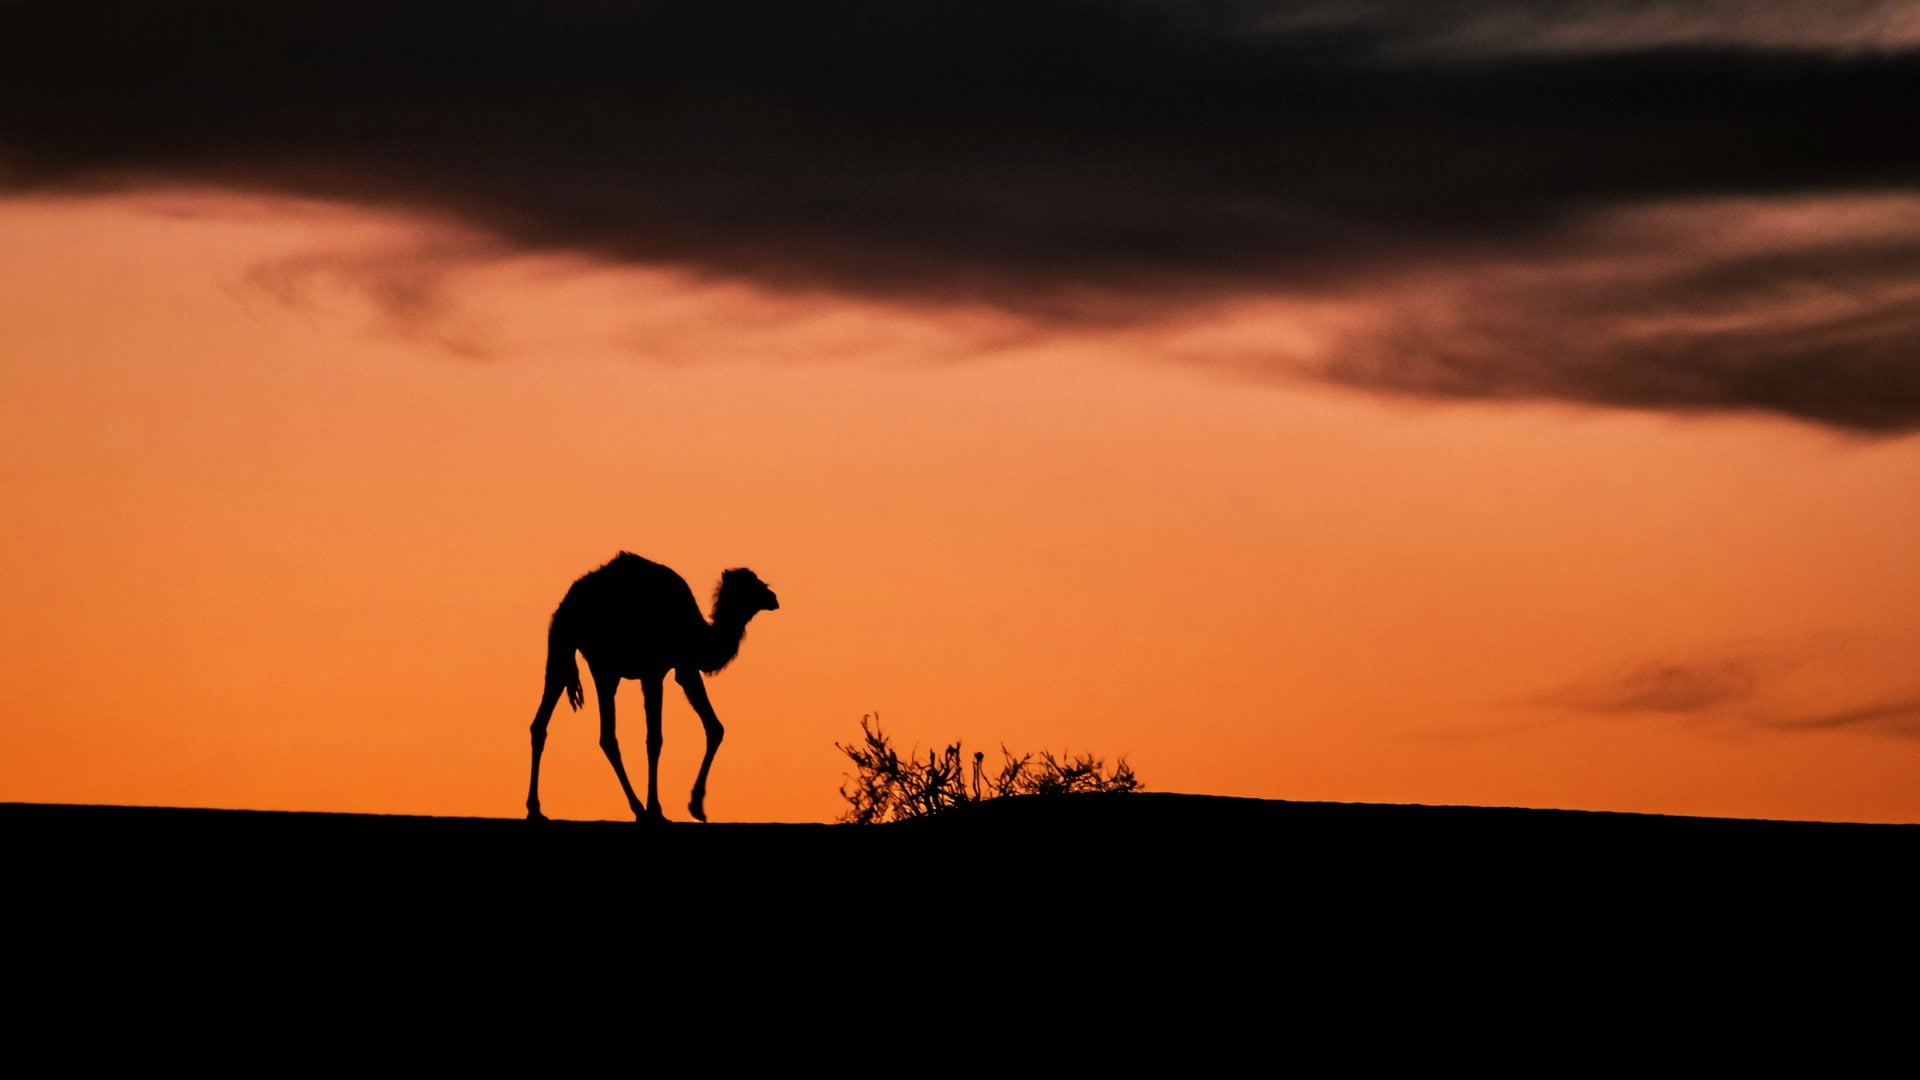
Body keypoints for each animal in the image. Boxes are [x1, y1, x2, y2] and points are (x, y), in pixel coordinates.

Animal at [525, 552, 780, 823]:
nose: (773, 598)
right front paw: (660, 809)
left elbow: (714, 727)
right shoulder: (655, 671)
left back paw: (535, 809)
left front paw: (695, 806)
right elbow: (655, 739)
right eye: (750, 584)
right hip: (602, 666)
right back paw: (639, 809)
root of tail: (568, 603)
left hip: (565, 653)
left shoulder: (683, 667)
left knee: (543, 723)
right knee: (607, 736)